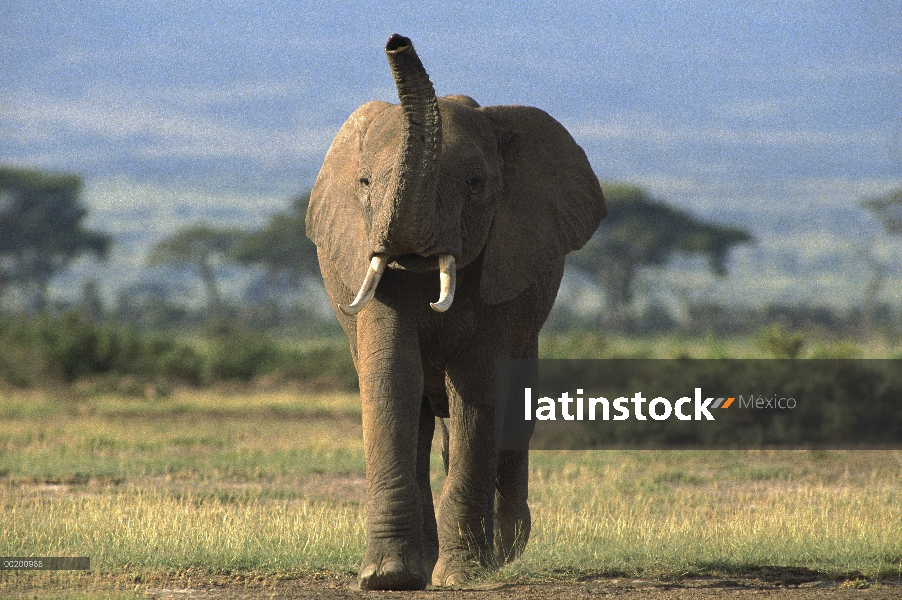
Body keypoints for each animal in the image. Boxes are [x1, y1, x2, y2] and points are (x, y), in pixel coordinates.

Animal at [308, 34, 612, 592]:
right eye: (364, 183)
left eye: (476, 183)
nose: (397, 41)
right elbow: (392, 377)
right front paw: (388, 577)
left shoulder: (507, 262)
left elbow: (477, 383)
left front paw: (462, 575)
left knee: (508, 410)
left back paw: (503, 551)